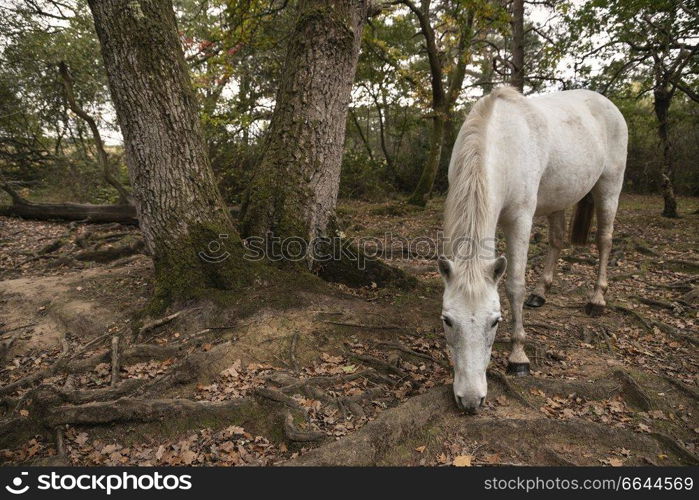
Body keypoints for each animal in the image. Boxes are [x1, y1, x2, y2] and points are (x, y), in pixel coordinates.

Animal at [440, 87, 628, 414]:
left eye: (496, 321)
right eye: (448, 320)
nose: (471, 399)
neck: (501, 142)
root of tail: (605, 103)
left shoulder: (520, 219)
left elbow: (515, 285)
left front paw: (518, 357)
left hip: (609, 188)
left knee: (604, 240)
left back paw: (597, 299)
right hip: (559, 199)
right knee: (557, 240)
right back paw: (541, 293)